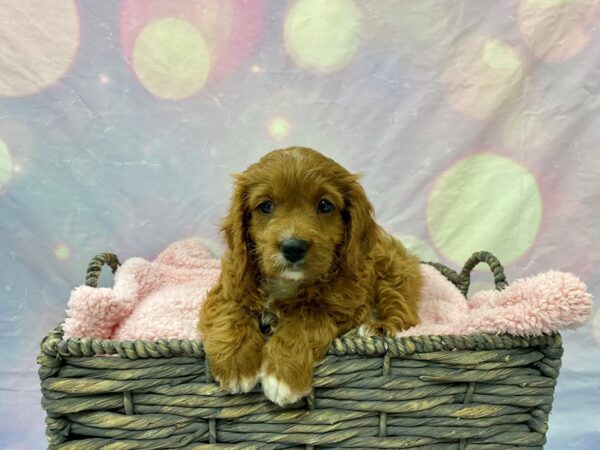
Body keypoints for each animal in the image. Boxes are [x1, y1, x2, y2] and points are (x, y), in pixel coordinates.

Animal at [198, 146, 422, 406]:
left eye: (325, 205)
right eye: (266, 206)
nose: (293, 247)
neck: (288, 283)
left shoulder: (347, 307)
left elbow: (304, 318)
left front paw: (282, 376)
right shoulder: (225, 290)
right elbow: (231, 311)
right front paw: (236, 365)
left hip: (394, 276)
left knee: (404, 315)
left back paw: (377, 329)